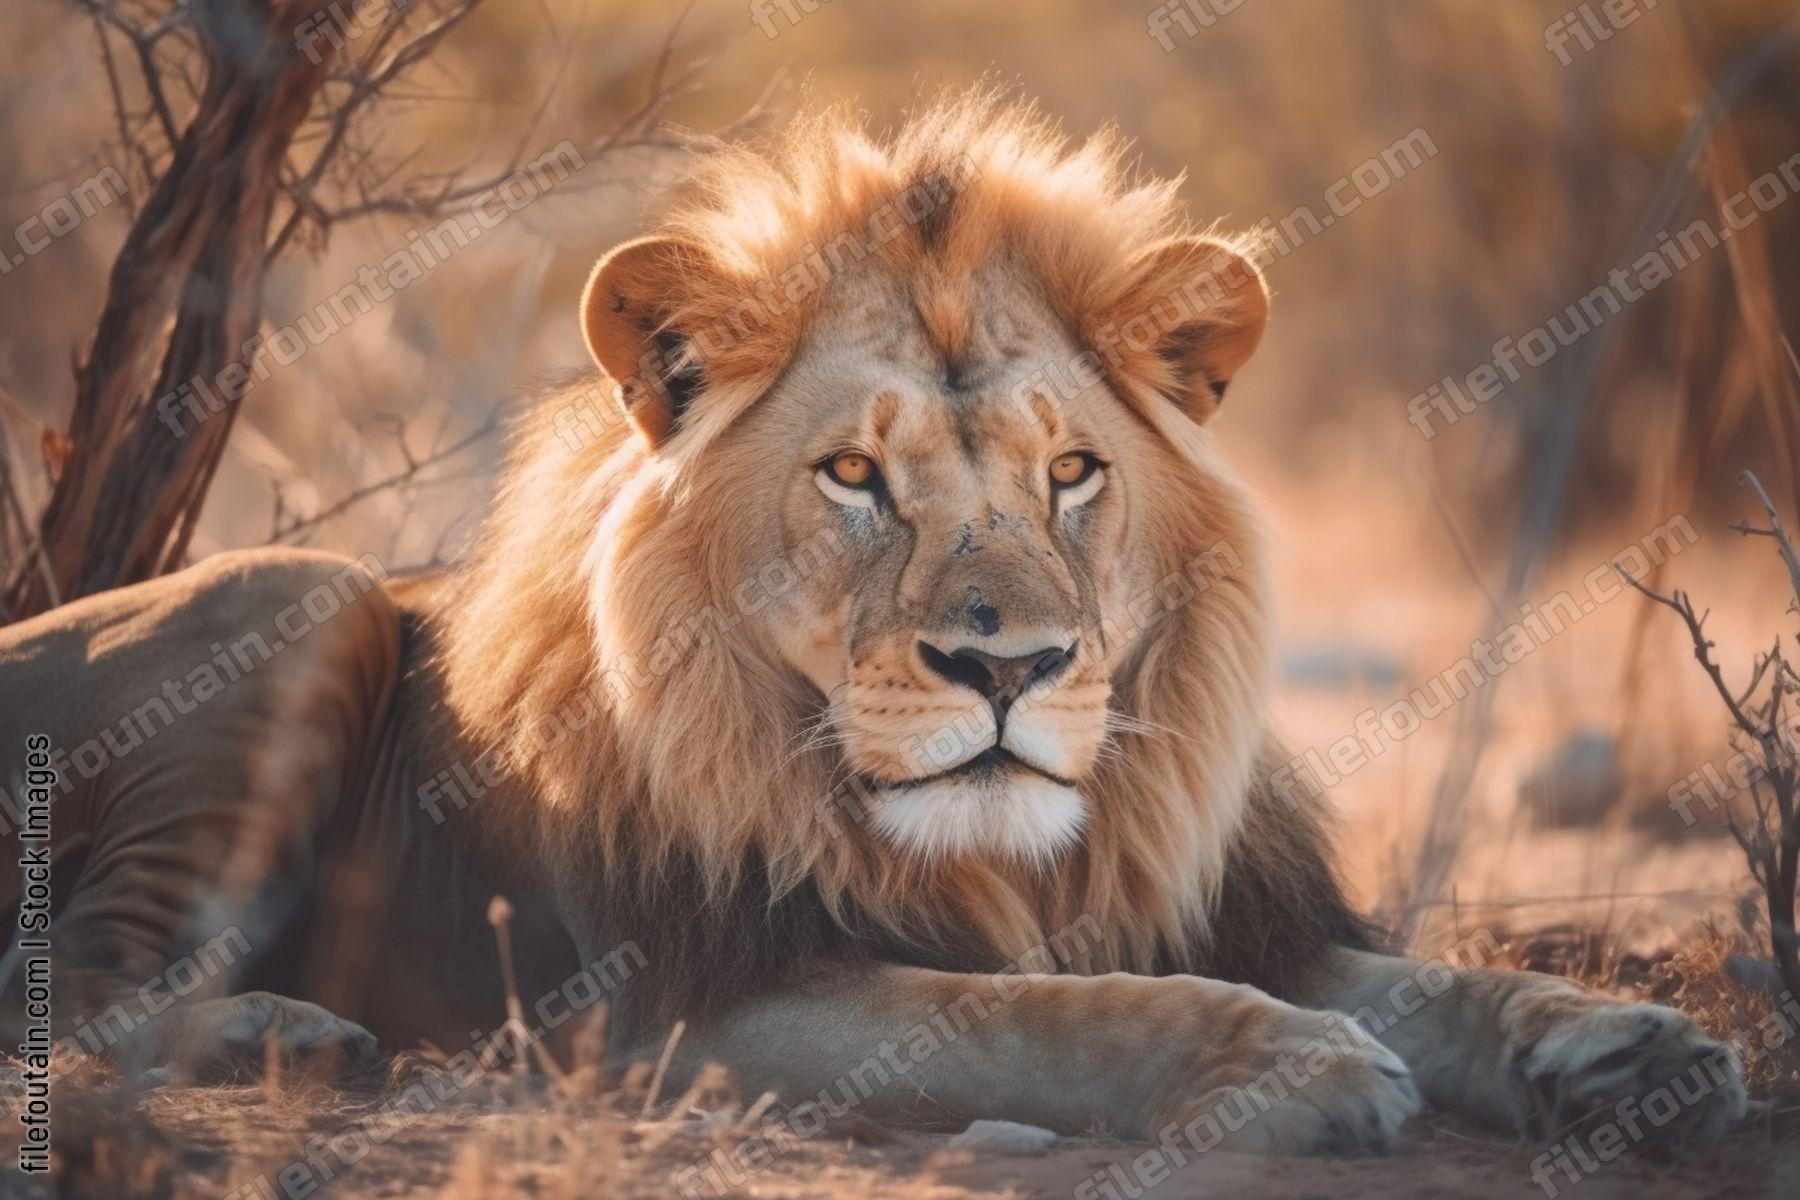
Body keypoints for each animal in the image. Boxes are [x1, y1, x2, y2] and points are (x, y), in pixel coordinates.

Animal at [0, 95, 1744, 1159]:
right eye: (853, 476)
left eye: (1071, 472)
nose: (1007, 668)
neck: (1008, 861)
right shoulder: (697, 1001)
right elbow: (1037, 1017)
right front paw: (1287, 1065)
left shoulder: (1208, 904)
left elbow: (1428, 984)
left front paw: (1630, 1047)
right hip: (302, 595)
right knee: (77, 977)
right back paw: (286, 1033)